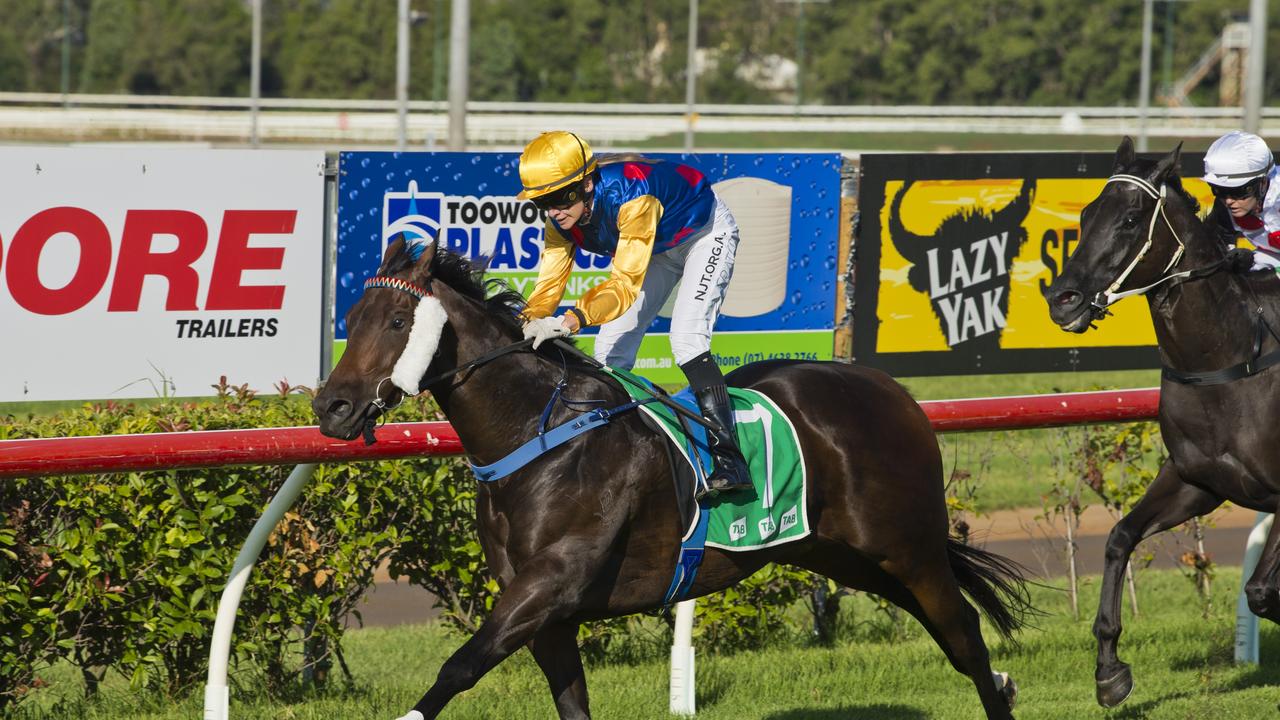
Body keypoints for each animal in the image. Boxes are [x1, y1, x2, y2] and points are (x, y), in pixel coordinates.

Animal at [314, 238, 1034, 712]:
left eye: (398, 321)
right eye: (349, 320)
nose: (332, 407)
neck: (538, 436)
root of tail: (894, 391)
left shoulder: (551, 582)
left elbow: (459, 667)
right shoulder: (546, 610)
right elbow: (570, 701)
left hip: (908, 547)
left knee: (966, 636)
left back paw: (995, 685)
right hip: (842, 555)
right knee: (952, 633)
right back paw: (1003, 683)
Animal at [1044, 137, 1280, 702]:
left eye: (1131, 219)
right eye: (1085, 215)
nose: (1061, 299)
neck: (1228, 360)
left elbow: (1261, 591)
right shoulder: (1197, 481)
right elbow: (1119, 537)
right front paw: (1109, 670)